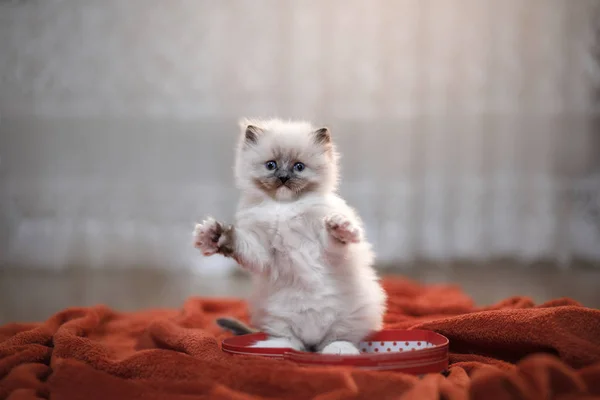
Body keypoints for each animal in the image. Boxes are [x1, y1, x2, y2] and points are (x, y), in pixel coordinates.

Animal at [195, 117, 386, 354]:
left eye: (299, 167)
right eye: (271, 165)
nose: (284, 178)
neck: (284, 207)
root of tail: (312, 341)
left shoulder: (327, 250)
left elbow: (334, 238)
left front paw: (338, 226)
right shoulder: (261, 250)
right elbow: (239, 242)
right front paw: (214, 235)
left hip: (351, 316)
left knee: (336, 340)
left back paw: (339, 350)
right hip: (274, 315)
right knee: (292, 342)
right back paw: (271, 348)